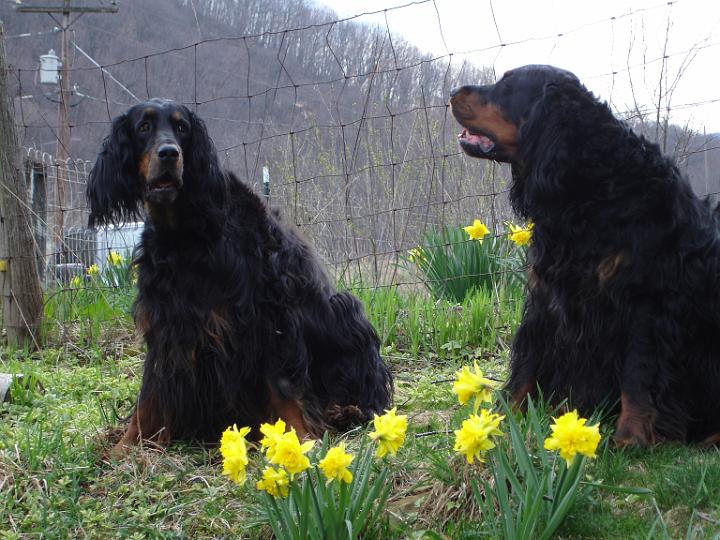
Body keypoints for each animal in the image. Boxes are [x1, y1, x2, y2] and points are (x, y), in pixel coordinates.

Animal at [88, 100, 394, 456]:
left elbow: (283, 385)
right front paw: (126, 447)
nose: (169, 153)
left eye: (182, 128)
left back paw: (344, 410)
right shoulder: (167, 324)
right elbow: (148, 395)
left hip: (344, 309)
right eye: (144, 127)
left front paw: (300, 437)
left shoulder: (269, 317)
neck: (186, 231)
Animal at [450, 64, 720, 448]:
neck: (592, 190)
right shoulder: (545, 297)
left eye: (507, 85)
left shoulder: (645, 303)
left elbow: (638, 374)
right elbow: (527, 363)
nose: (453, 92)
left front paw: (630, 438)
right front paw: (499, 420)